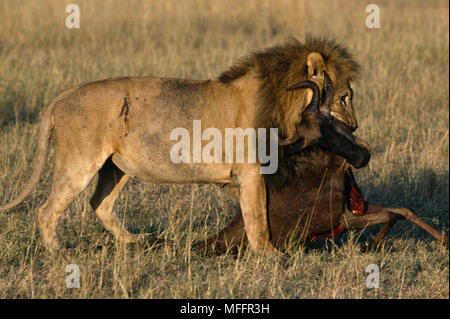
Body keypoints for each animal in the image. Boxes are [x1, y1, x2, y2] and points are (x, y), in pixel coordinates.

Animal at [0, 36, 368, 255]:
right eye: (344, 98)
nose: (355, 127)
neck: (283, 102)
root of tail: (59, 98)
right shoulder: (250, 171)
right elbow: (257, 215)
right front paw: (269, 254)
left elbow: (258, 212)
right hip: (79, 161)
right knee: (47, 210)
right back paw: (58, 254)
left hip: (115, 167)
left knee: (100, 204)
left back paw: (135, 242)